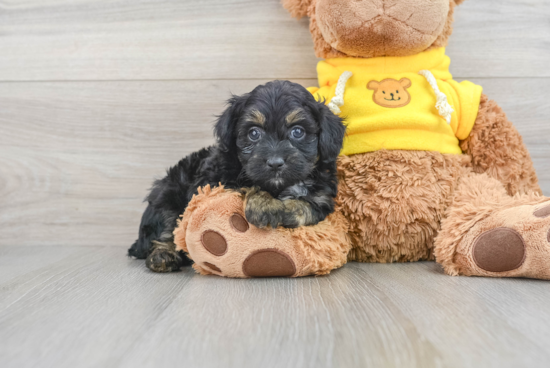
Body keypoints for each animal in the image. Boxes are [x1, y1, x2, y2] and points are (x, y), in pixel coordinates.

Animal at [128, 80, 344, 272]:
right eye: (254, 133)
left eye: (298, 131)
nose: (275, 162)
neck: (277, 187)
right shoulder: (215, 182)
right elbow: (245, 185)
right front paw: (264, 205)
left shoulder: (322, 197)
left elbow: (307, 205)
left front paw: (282, 210)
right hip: (168, 193)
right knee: (167, 227)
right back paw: (163, 256)